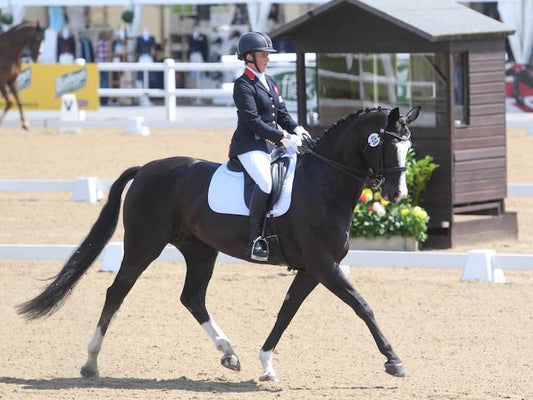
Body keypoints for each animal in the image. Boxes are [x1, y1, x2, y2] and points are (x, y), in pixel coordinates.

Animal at [17, 105, 420, 382]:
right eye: (387, 145)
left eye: (409, 146)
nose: (397, 194)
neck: (324, 183)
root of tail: (146, 169)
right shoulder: (324, 265)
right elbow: (363, 306)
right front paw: (394, 360)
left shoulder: (312, 269)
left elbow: (286, 312)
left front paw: (266, 364)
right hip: (143, 246)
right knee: (116, 292)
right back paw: (90, 362)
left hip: (199, 250)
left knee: (192, 297)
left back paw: (228, 353)